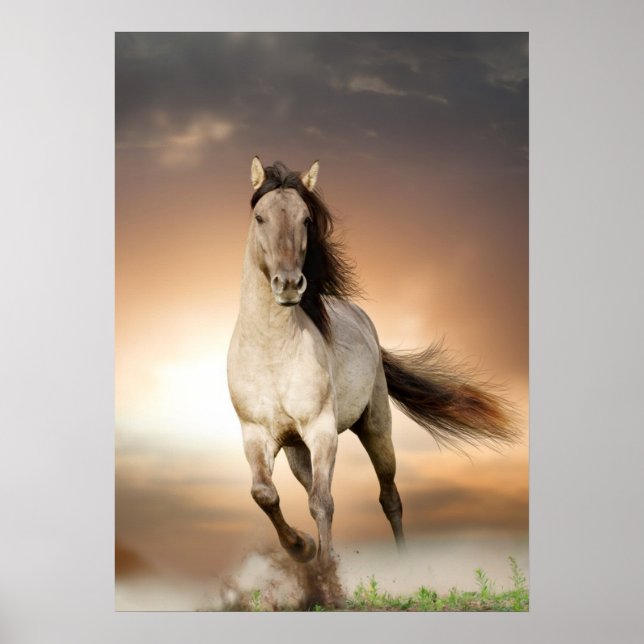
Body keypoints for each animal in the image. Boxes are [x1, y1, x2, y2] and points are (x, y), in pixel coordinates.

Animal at [227, 157, 518, 566]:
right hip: (297, 449)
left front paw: (324, 571)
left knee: (389, 497)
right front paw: (303, 548)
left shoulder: (322, 430)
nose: (289, 284)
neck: (271, 353)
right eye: (260, 217)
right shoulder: (255, 433)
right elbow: (265, 494)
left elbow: (322, 502)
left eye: (306, 219)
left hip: (375, 427)